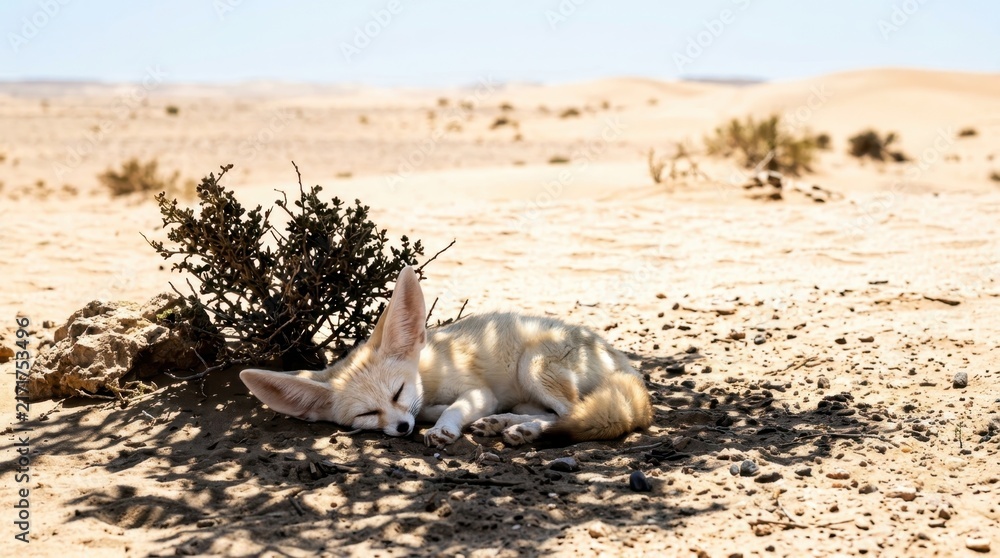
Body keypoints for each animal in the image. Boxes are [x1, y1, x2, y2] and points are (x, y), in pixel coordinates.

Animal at [239, 266, 652, 447]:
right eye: (367, 414)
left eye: (397, 392)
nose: (401, 428)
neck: (428, 368)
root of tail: (628, 369)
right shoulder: (437, 402)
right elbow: (435, 410)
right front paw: (446, 420)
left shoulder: (477, 390)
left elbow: (455, 408)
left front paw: (443, 428)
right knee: (554, 413)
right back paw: (505, 423)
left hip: (533, 365)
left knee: (571, 413)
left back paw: (522, 429)